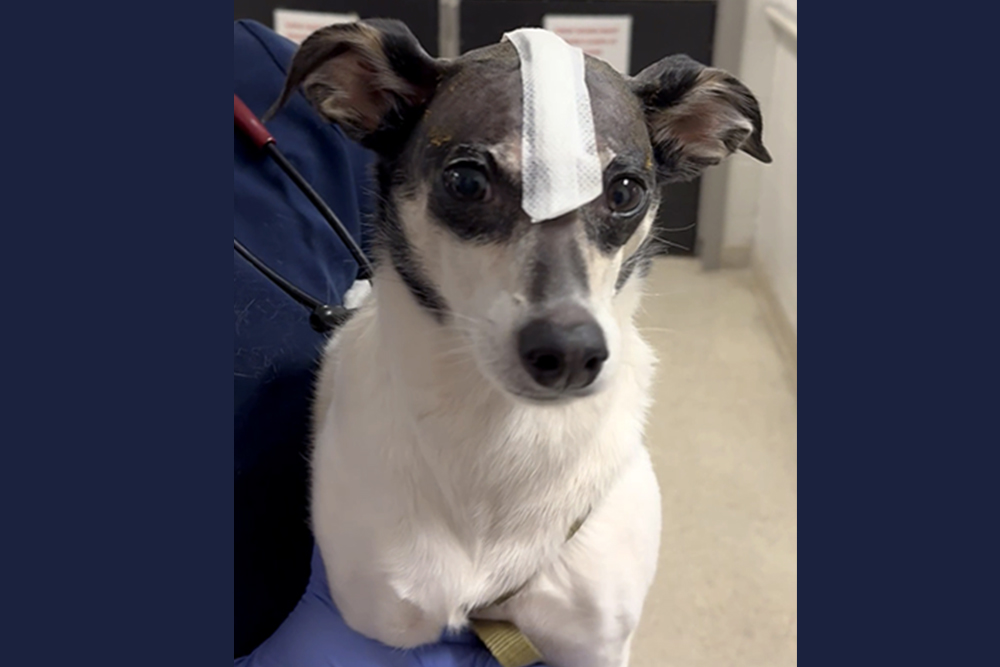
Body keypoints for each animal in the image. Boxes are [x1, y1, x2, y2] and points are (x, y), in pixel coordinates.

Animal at [268, 19, 772, 667]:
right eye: (465, 180)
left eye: (625, 190)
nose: (571, 354)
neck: (501, 438)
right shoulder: (381, 625)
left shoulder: (595, 642)